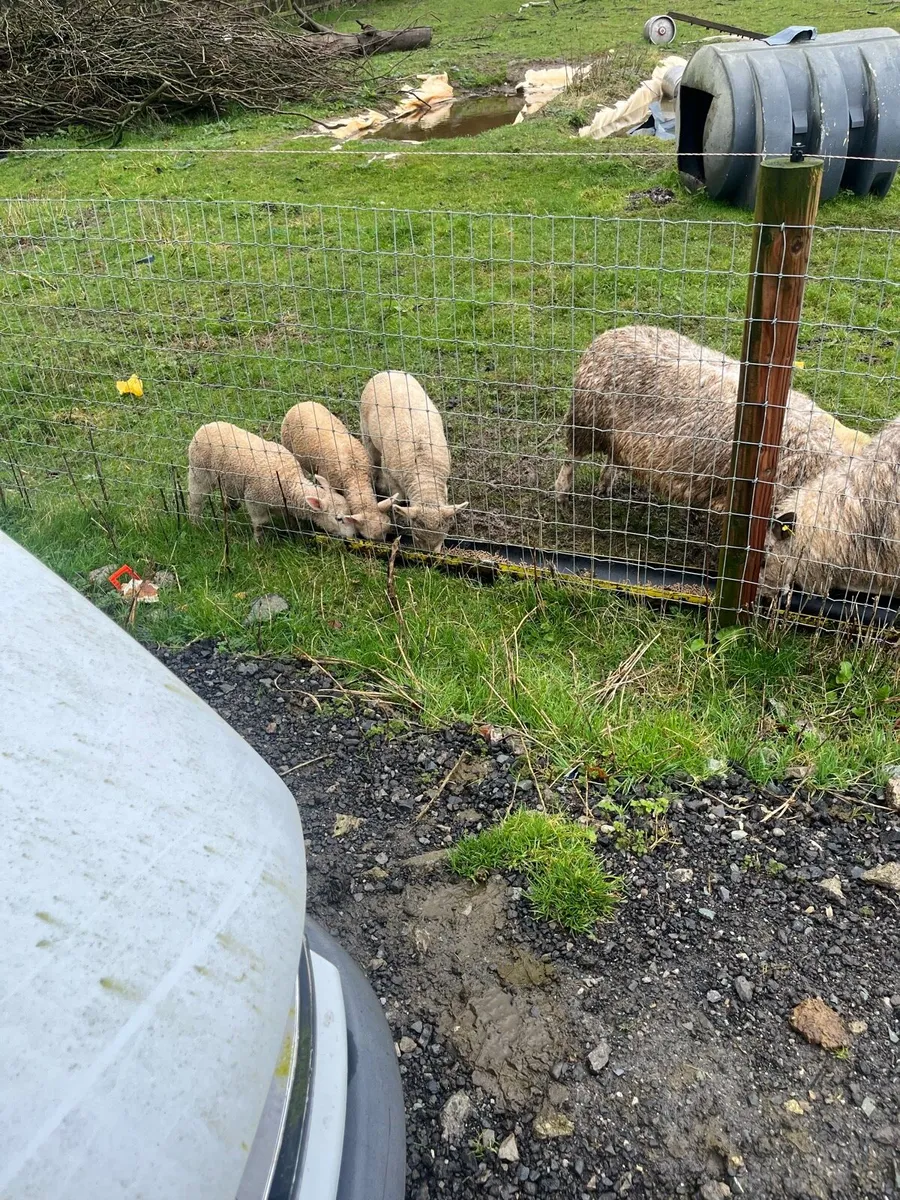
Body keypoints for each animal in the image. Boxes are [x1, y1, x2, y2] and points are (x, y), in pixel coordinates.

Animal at [187, 421, 354, 543]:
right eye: (339, 519)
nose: (354, 535)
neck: (290, 483)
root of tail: (204, 427)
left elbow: (292, 521)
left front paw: (293, 532)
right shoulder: (255, 502)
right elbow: (261, 524)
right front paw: (259, 543)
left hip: (227, 477)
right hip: (198, 472)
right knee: (195, 500)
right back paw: (196, 524)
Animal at [359, 370, 467, 552]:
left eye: (444, 536)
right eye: (416, 536)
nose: (431, 555)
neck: (424, 471)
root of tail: (386, 372)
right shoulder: (391, 475)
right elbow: (398, 498)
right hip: (366, 430)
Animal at [553, 325, 872, 514]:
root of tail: (609, 334)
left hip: (615, 433)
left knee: (612, 458)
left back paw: (604, 487)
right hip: (584, 419)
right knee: (571, 458)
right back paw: (561, 494)